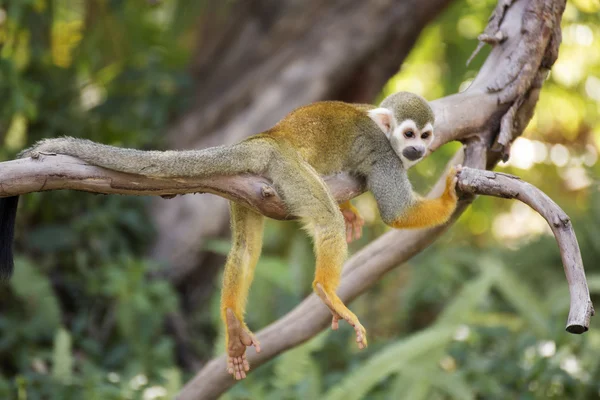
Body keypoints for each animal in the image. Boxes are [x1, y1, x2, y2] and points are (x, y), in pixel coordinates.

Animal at [0, 91, 460, 382]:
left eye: (425, 135)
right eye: (408, 135)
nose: (418, 150)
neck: (382, 131)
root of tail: (269, 136)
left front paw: (353, 213)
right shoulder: (384, 156)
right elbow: (396, 212)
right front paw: (452, 193)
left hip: (252, 187)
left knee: (245, 247)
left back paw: (232, 322)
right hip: (289, 170)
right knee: (321, 220)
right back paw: (326, 291)